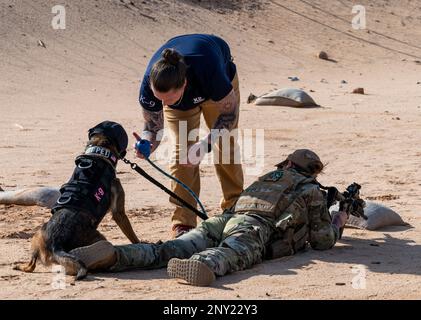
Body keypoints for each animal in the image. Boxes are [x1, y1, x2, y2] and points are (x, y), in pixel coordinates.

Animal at [8, 121, 139, 278]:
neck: (99, 150)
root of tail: (56, 244)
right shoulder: (119, 213)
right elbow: (132, 234)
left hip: (37, 235)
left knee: (31, 265)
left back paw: (19, 266)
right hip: (97, 237)